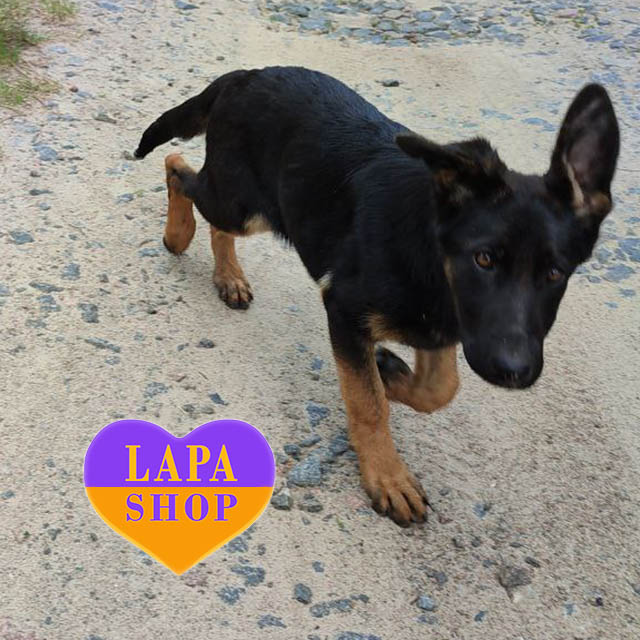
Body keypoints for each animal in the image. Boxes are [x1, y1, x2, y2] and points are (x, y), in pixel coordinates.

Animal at [135, 66, 619, 526]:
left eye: (555, 273)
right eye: (483, 259)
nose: (513, 372)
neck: (431, 257)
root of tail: (245, 76)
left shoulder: (439, 326)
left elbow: (440, 388)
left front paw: (390, 373)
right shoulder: (346, 311)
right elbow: (369, 405)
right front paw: (387, 476)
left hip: (252, 209)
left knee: (208, 210)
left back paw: (228, 275)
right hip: (240, 204)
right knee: (177, 167)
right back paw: (178, 235)